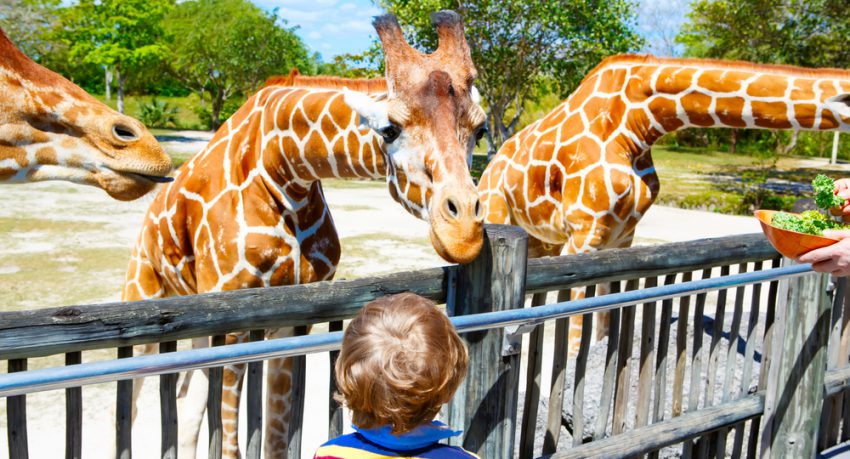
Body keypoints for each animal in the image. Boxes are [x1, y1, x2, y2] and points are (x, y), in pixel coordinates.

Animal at [122, 10, 486, 459]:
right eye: (389, 129)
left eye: (481, 130)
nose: (464, 233)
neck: (283, 168)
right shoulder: (232, 314)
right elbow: (230, 440)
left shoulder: (291, 318)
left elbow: (276, 435)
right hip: (145, 293)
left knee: (187, 398)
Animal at [476, 54, 848, 352]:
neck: (636, 125)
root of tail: (491, 167)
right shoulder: (582, 236)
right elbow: (574, 337)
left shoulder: (620, 238)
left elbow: (602, 326)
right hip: (500, 212)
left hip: (543, 240)